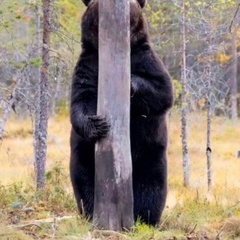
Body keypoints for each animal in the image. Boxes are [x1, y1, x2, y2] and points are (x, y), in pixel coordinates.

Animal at [69, 0, 172, 225]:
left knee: (151, 184)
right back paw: (90, 211)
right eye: (97, 13)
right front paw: (97, 124)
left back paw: (146, 217)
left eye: (130, 14)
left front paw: (131, 83)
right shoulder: (88, 64)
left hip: (150, 152)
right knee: (84, 179)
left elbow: (162, 90)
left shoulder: (145, 58)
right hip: (84, 154)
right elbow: (81, 99)